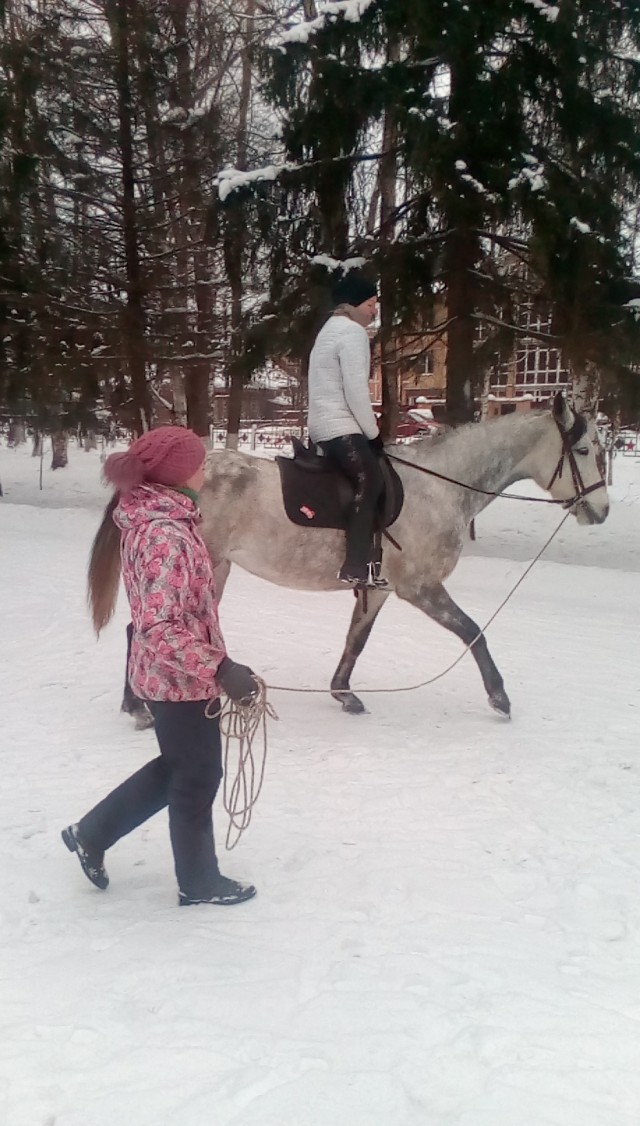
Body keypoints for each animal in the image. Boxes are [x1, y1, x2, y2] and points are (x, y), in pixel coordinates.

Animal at [89, 391, 603, 716]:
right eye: (583, 449)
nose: (600, 510)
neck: (439, 487)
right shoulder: (421, 588)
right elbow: (473, 632)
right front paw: (499, 696)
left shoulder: (379, 588)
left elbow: (357, 639)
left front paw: (343, 693)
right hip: (205, 566)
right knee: (143, 629)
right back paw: (137, 705)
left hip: (216, 568)